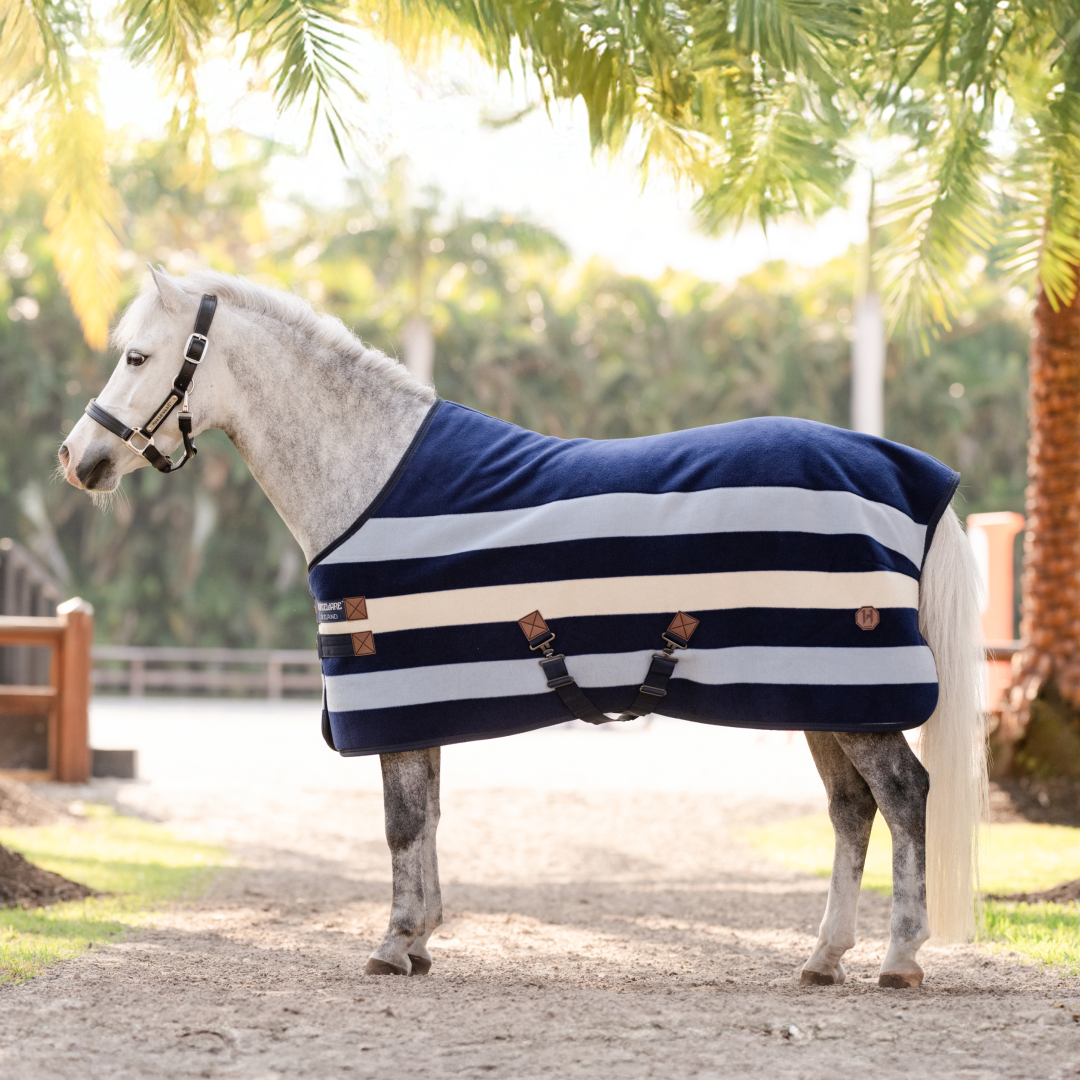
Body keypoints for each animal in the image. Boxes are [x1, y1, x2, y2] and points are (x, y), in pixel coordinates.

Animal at [58, 267, 987, 988]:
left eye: (138, 356)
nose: (77, 460)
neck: (371, 474)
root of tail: (908, 474)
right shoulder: (417, 705)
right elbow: (429, 817)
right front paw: (422, 940)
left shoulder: (391, 696)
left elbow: (401, 823)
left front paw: (394, 944)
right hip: (823, 697)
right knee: (850, 810)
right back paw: (824, 957)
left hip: (854, 698)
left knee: (903, 797)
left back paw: (900, 958)